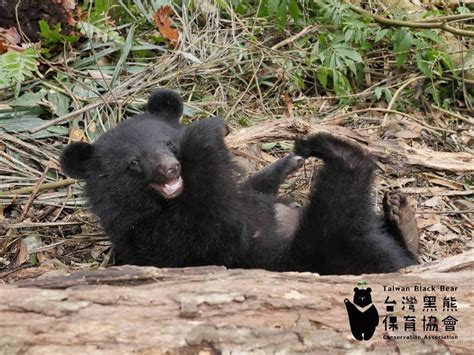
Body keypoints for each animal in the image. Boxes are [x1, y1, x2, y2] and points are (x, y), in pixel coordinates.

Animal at [61, 89, 416, 276]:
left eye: (170, 144)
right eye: (134, 163)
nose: (170, 169)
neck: (166, 203)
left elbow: (250, 188)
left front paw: (287, 162)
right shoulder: (157, 239)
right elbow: (218, 225)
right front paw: (209, 130)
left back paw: (400, 215)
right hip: (317, 247)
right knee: (344, 201)